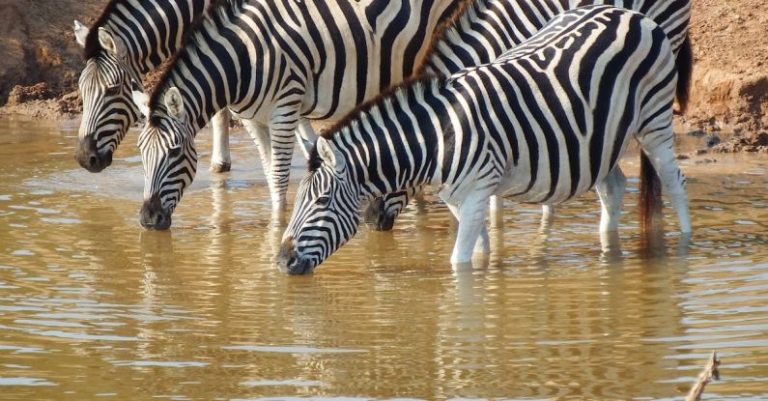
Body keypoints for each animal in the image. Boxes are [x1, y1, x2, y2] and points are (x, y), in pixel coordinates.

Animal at [130, 0, 462, 228]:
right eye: (141, 152)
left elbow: (278, 177)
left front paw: (277, 226)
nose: (148, 218)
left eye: (175, 152)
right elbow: (269, 171)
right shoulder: (252, 119)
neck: (242, 60)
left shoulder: (285, 108)